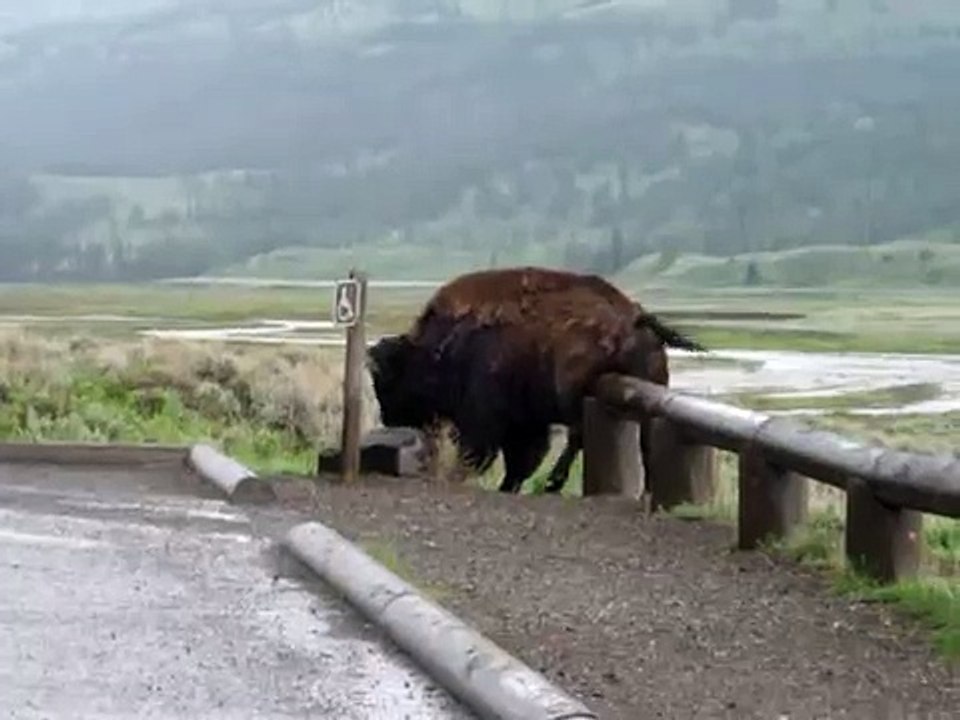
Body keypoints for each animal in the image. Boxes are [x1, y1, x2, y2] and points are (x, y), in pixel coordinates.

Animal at [367, 267, 704, 494]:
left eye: (385, 378)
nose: (387, 416)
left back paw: (554, 483)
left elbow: (490, 453)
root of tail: (634, 316)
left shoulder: (488, 419)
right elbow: (522, 460)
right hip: (645, 393)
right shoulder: (526, 422)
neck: (443, 342)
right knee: (643, 442)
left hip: (573, 391)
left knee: (578, 435)